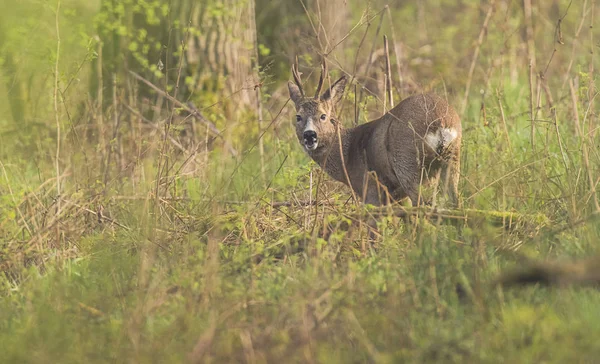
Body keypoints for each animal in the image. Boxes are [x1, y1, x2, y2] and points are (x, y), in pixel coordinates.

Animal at [288, 61, 462, 206]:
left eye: (323, 116)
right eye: (298, 116)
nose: (309, 135)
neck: (347, 155)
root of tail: (440, 122)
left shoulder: (371, 190)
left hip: (408, 163)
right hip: (452, 158)